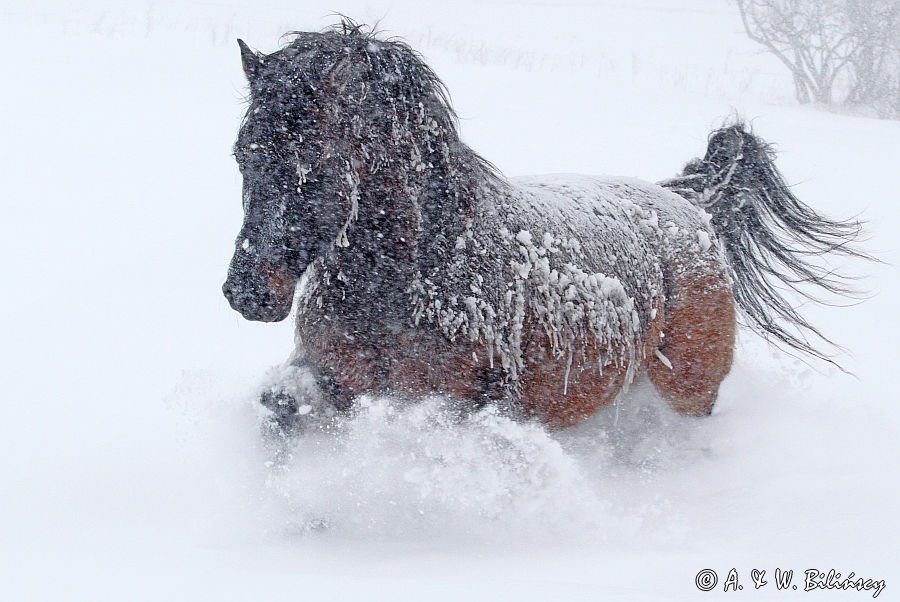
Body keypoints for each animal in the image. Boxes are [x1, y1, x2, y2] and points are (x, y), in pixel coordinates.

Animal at [221, 21, 868, 434]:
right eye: (242, 155)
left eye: (311, 166)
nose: (246, 292)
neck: (417, 272)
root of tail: (693, 210)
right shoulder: (331, 381)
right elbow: (282, 411)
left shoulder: (461, 405)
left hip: (690, 391)